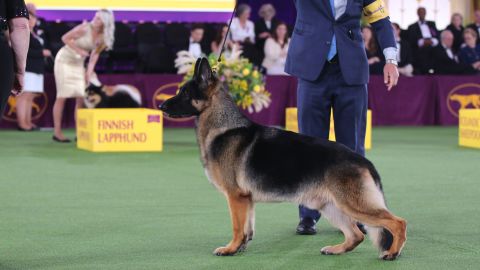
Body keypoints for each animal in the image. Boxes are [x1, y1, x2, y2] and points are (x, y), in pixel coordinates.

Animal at [159, 58, 406, 260]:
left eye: (184, 94)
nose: (160, 105)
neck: (222, 125)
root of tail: (365, 161)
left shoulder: (235, 197)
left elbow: (237, 227)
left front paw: (230, 249)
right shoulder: (246, 200)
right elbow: (247, 228)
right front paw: (241, 248)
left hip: (352, 204)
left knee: (397, 223)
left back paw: (392, 253)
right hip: (331, 206)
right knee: (356, 235)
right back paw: (336, 249)